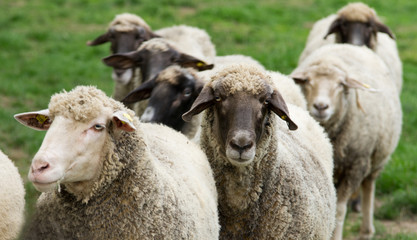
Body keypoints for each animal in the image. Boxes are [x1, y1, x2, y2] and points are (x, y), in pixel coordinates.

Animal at [288, 43, 402, 240]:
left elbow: (340, 210)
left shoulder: (356, 167)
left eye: (340, 85)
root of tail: (351, 45)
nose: (321, 106)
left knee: (368, 187)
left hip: (376, 158)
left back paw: (366, 230)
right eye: (308, 81)